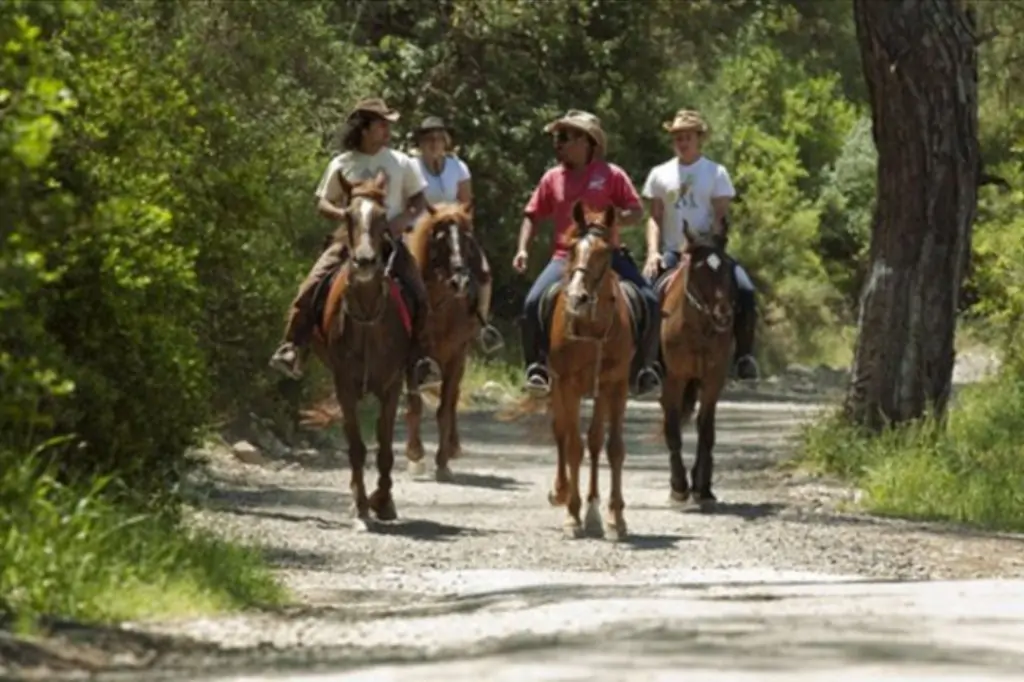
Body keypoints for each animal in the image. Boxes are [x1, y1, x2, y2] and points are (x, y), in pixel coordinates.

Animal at [307, 171, 415, 532]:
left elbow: (385, 447)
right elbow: (356, 446)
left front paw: (384, 502)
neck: (368, 318)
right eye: (348, 215)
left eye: (382, 216)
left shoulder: (392, 385)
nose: (366, 261)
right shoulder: (344, 385)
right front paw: (361, 507)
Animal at [403, 199, 487, 481]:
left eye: (468, 239)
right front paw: (415, 455)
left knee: (452, 400)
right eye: (439, 239)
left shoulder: (456, 356)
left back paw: (453, 447)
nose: (460, 281)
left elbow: (444, 409)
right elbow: (415, 404)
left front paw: (442, 462)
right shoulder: (411, 356)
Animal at [544, 200, 630, 536]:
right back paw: (561, 491)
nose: (577, 298)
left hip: (599, 391)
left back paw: (594, 510)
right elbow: (572, 445)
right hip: (558, 386)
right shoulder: (567, 383)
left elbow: (613, 447)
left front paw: (616, 517)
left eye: (605, 252)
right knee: (561, 433)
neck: (592, 328)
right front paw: (572, 513)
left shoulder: (615, 385)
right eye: (571, 249)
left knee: (594, 441)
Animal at [655, 223, 737, 509]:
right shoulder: (674, 379)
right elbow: (672, 429)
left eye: (727, 267)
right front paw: (679, 487)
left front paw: (702, 486)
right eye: (699, 269)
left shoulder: (713, 380)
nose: (723, 315)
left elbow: (706, 430)